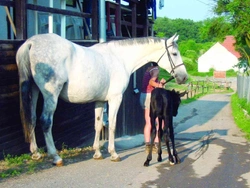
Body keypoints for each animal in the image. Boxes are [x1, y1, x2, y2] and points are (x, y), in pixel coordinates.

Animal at [16, 33, 188, 165]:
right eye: (174, 54)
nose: (184, 77)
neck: (120, 58)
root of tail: (31, 43)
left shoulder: (99, 101)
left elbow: (98, 125)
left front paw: (97, 153)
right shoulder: (115, 99)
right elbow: (111, 124)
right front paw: (113, 154)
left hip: (34, 90)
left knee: (31, 118)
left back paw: (35, 153)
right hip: (50, 94)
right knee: (45, 121)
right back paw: (56, 157)